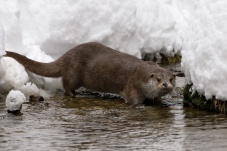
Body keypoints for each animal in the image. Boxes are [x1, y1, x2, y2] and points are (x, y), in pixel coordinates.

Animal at [3, 42, 176, 104]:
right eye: (158, 79)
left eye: (171, 79)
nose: (165, 84)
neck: (141, 74)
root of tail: (67, 55)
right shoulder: (132, 86)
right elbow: (134, 101)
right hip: (74, 73)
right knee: (66, 85)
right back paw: (73, 94)